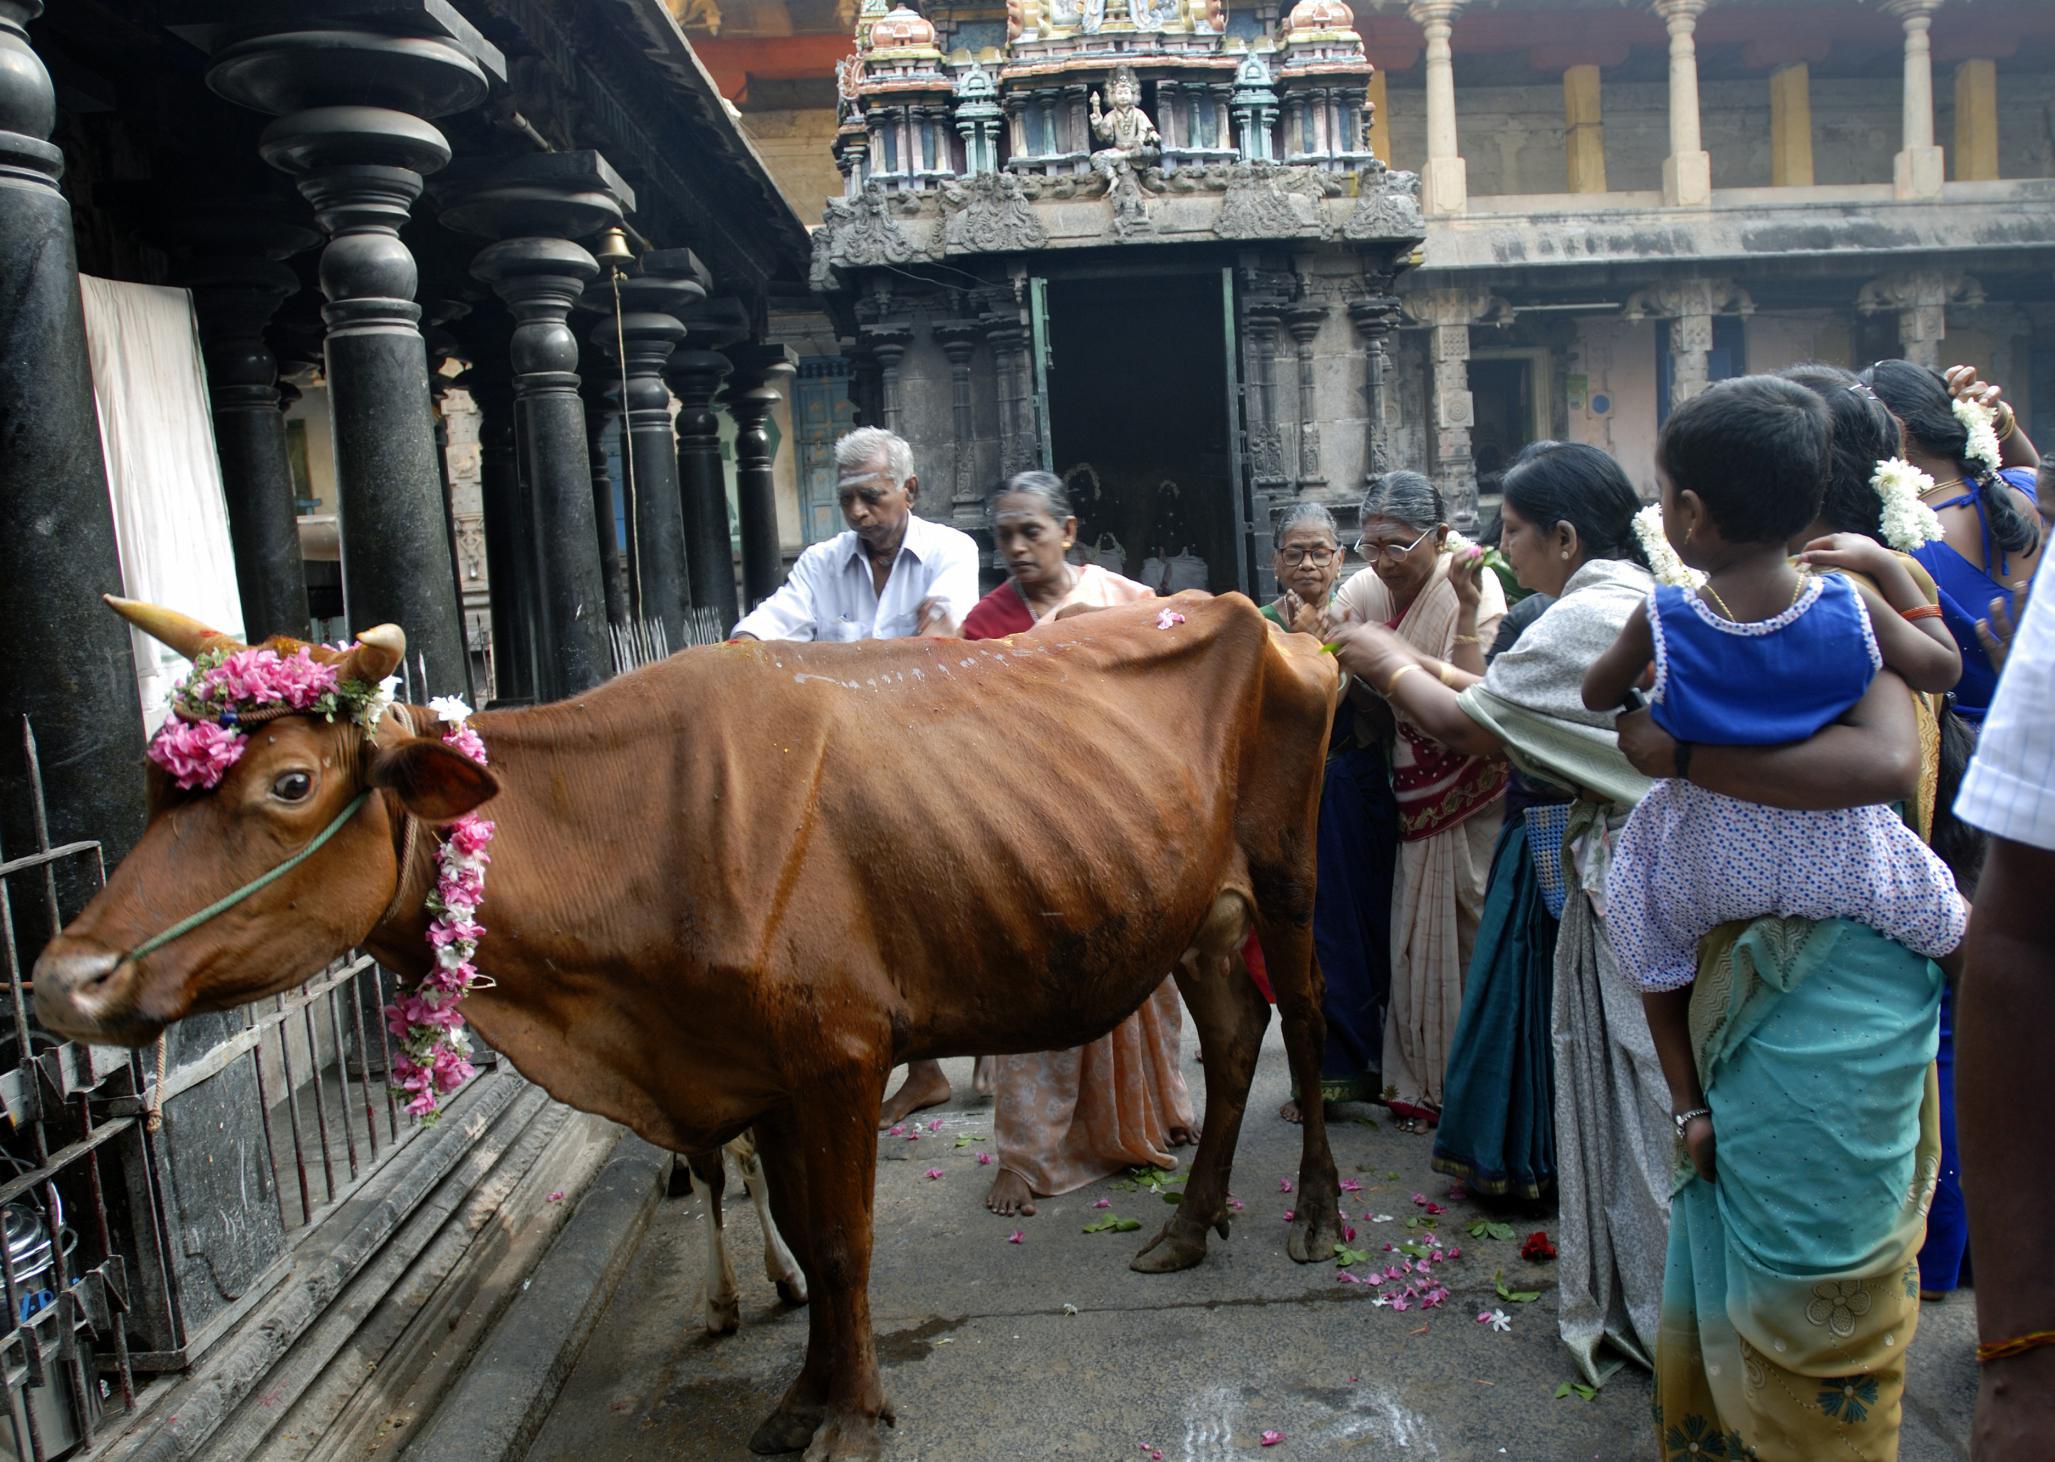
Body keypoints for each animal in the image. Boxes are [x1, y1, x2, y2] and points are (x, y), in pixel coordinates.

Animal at [40, 588, 1348, 1455]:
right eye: (158, 781)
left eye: (292, 783)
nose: (62, 979)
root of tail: (1251, 612)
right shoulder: (755, 1066)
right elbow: (807, 1240)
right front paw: (801, 1398)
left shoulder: (838, 1054)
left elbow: (844, 1243)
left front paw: (851, 1419)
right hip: (1189, 914)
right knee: (1235, 1037)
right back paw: (1187, 1228)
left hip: (1287, 877)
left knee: (1304, 1026)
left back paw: (1313, 1218)